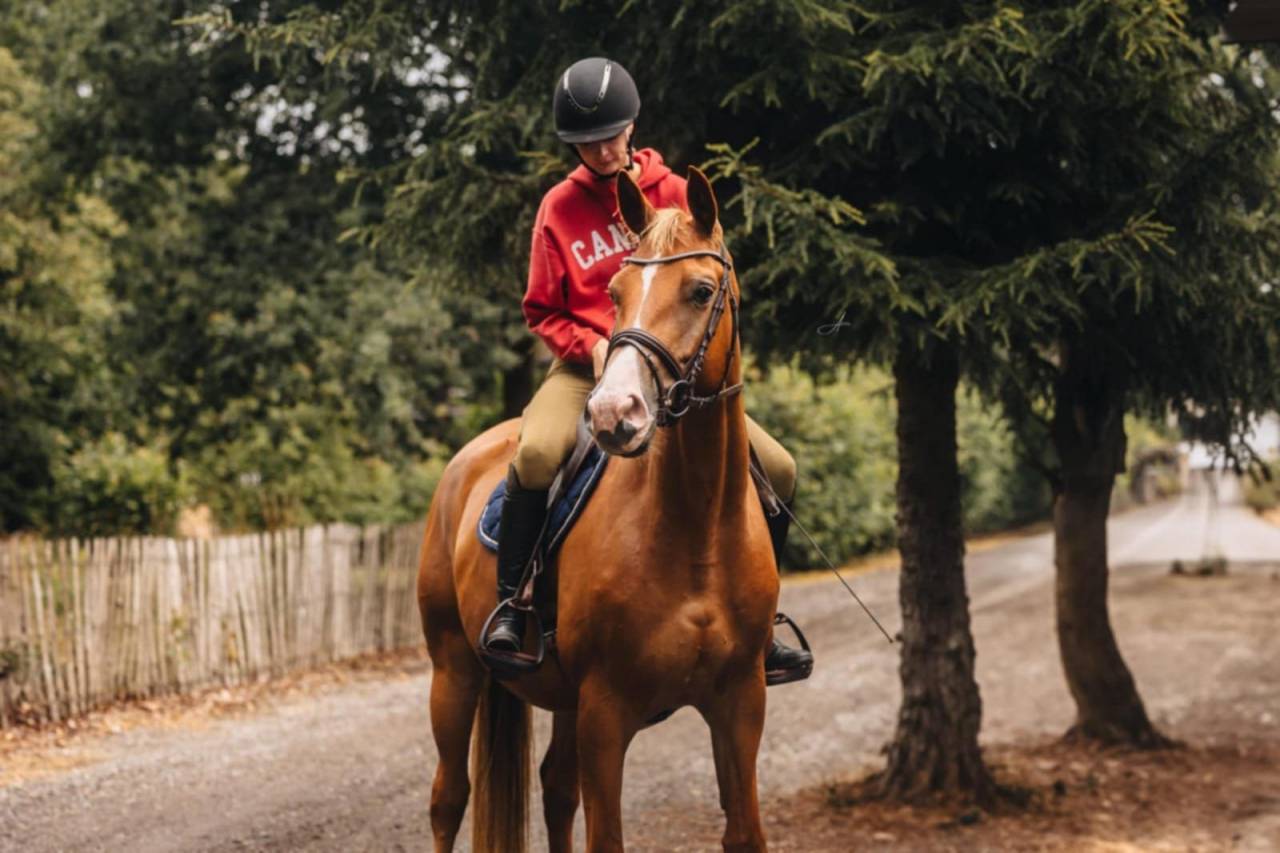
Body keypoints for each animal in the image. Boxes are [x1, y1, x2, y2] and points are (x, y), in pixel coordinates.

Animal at [416, 166, 778, 852]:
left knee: (556, 788)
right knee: (448, 799)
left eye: (699, 292)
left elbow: (744, 831)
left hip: (556, 698)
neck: (694, 530)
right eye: (614, 292)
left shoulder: (740, 703)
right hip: (453, 671)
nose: (614, 414)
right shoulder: (605, 714)